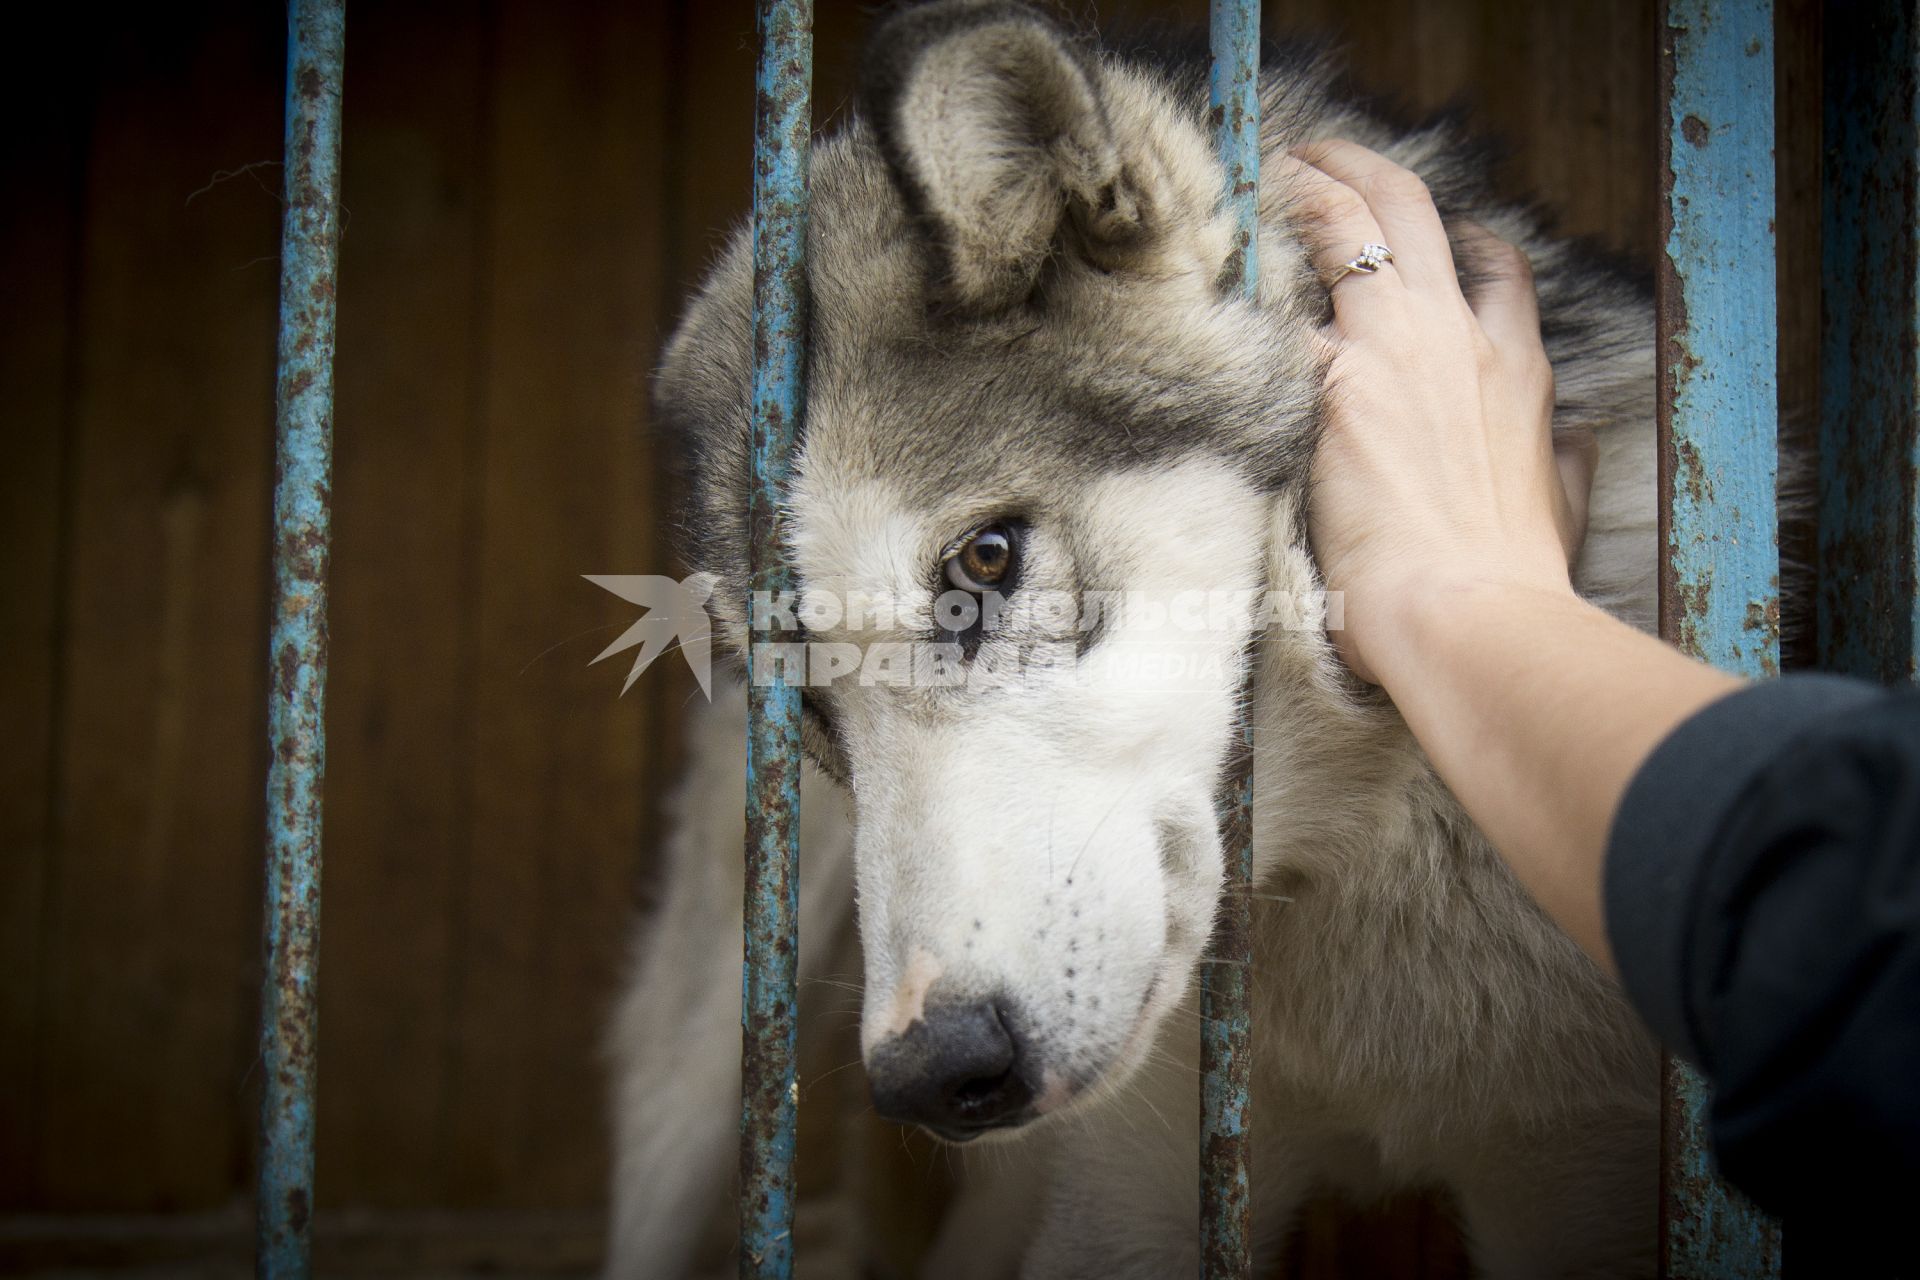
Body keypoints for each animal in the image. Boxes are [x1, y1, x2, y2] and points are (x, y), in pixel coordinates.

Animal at [610, 5, 1651, 1274]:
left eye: (986, 562)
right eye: (807, 704)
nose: (933, 1071)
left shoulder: (1582, 1164)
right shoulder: (1128, 1192)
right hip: (708, 1064)